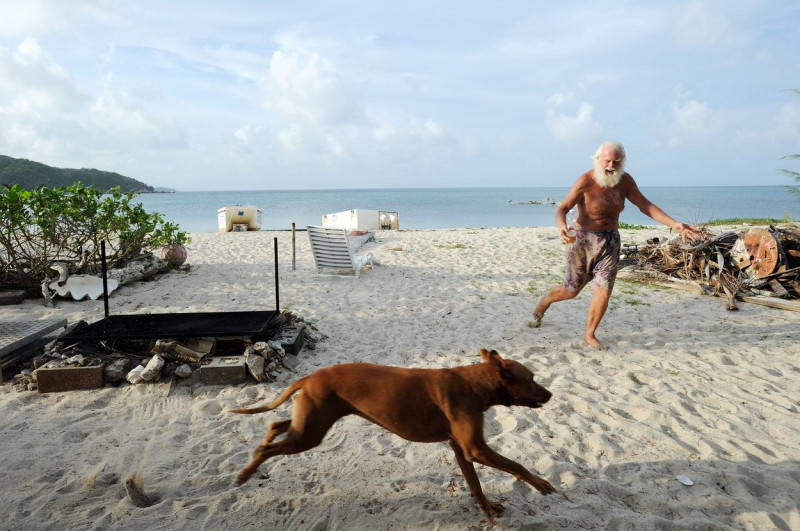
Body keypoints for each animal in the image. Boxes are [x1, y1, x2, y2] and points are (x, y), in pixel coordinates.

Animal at [231, 350, 552, 516]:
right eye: (531, 378)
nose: (550, 394)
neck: (476, 384)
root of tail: (309, 376)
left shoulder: (461, 449)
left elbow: (475, 484)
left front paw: (486, 508)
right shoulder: (476, 449)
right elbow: (517, 465)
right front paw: (541, 484)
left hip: (310, 423)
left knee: (275, 425)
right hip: (311, 433)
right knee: (266, 449)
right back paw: (245, 474)